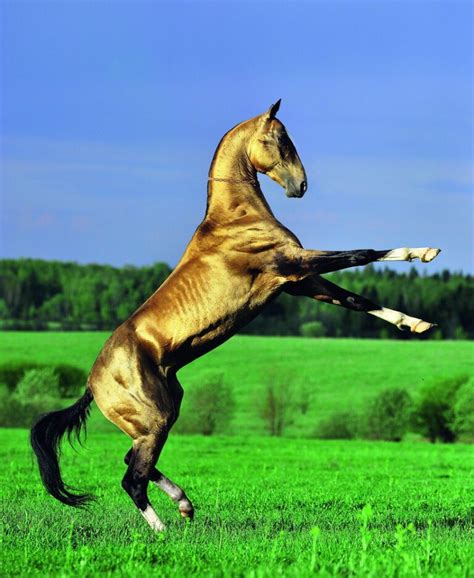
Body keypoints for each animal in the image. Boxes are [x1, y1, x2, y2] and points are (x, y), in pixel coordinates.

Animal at [31, 100, 440, 532]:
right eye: (277, 139)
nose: (300, 185)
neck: (236, 217)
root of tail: (92, 385)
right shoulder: (292, 265)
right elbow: (362, 253)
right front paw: (424, 253)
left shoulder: (298, 282)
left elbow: (358, 300)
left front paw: (417, 323)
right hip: (155, 418)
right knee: (132, 478)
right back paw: (164, 531)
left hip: (159, 415)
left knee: (133, 461)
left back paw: (185, 504)